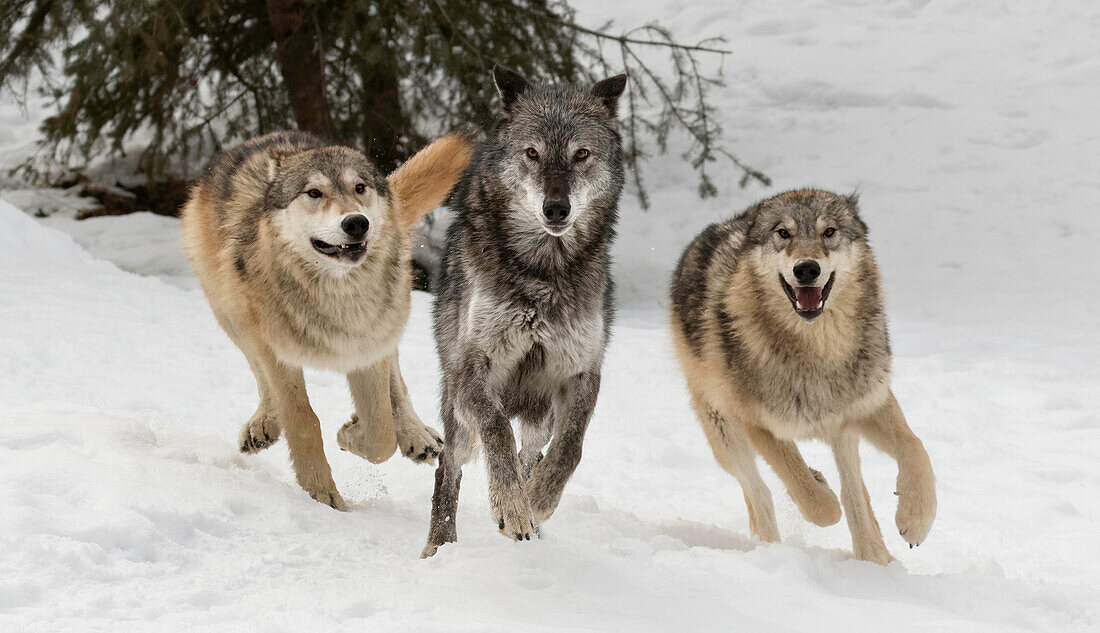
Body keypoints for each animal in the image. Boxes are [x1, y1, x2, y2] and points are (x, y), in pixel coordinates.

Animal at [181, 128, 473, 510]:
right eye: (313, 193)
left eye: (359, 188)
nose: (356, 223)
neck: (336, 298)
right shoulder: (276, 353)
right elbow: (303, 419)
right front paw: (321, 494)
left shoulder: (365, 350)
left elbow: (381, 434)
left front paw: (351, 433)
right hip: (231, 316)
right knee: (259, 374)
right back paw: (264, 424)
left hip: (389, 321)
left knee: (396, 381)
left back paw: (414, 434)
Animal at [420, 66, 629, 557]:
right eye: (532, 153)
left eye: (581, 154)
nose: (556, 208)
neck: (543, 272)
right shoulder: (473, 370)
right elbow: (497, 426)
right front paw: (511, 507)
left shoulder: (581, 372)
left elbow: (570, 449)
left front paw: (537, 502)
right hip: (458, 416)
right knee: (448, 466)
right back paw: (440, 546)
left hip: (541, 414)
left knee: (529, 452)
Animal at [668, 190, 937, 568]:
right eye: (783, 233)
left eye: (829, 232)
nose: (807, 268)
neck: (817, 351)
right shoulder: (756, 423)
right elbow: (811, 497)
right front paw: (817, 487)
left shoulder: (869, 403)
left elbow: (916, 449)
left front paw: (915, 519)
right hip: (724, 433)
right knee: (760, 492)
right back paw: (771, 546)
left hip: (842, 428)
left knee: (855, 491)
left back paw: (876, 558)